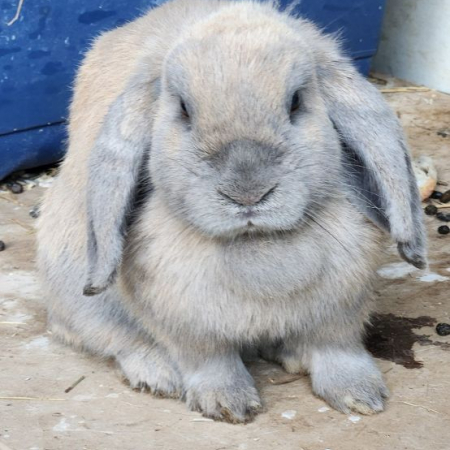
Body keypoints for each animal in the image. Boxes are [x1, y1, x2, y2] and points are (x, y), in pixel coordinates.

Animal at [37, 0, 427, 423]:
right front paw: (229, 404)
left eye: (296, 102)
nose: (248, 193)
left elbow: (338, 351)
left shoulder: (339, 314)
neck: (256, 245)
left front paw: (361, 396)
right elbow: (210, 361)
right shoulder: (188, 326)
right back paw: (157, 375)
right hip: (80, 293)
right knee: (111, 338)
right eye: (184, 110)